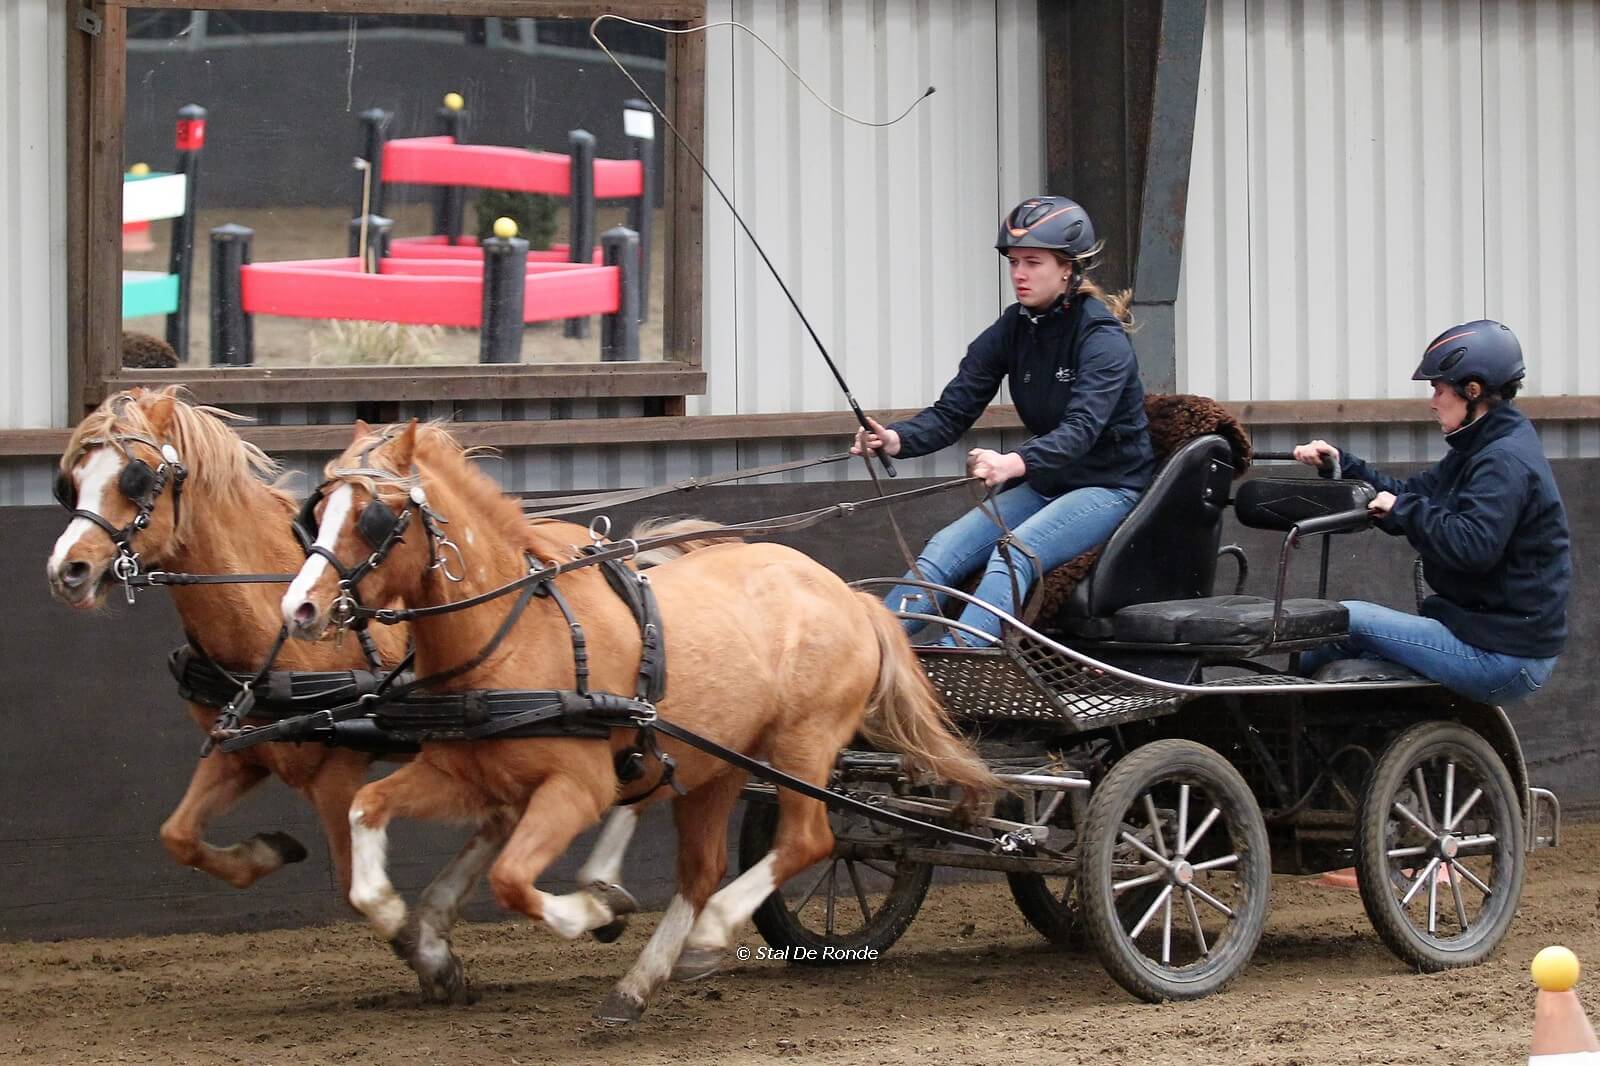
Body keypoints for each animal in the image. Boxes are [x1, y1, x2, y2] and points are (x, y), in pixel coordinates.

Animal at [281, 419, 992, 1017]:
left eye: (374, 517)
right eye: (317, 512)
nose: (300, 608)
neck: (514, 636)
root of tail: (849, 595)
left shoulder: (578, 786)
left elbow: (511, 880)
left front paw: (596, 912)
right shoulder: (466, 773)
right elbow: (367, 809)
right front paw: (414, 935)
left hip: (803, 745)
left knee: (808, 843)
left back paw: (709, 934)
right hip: (720, 763)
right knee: (702, 869)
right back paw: (641, 982)